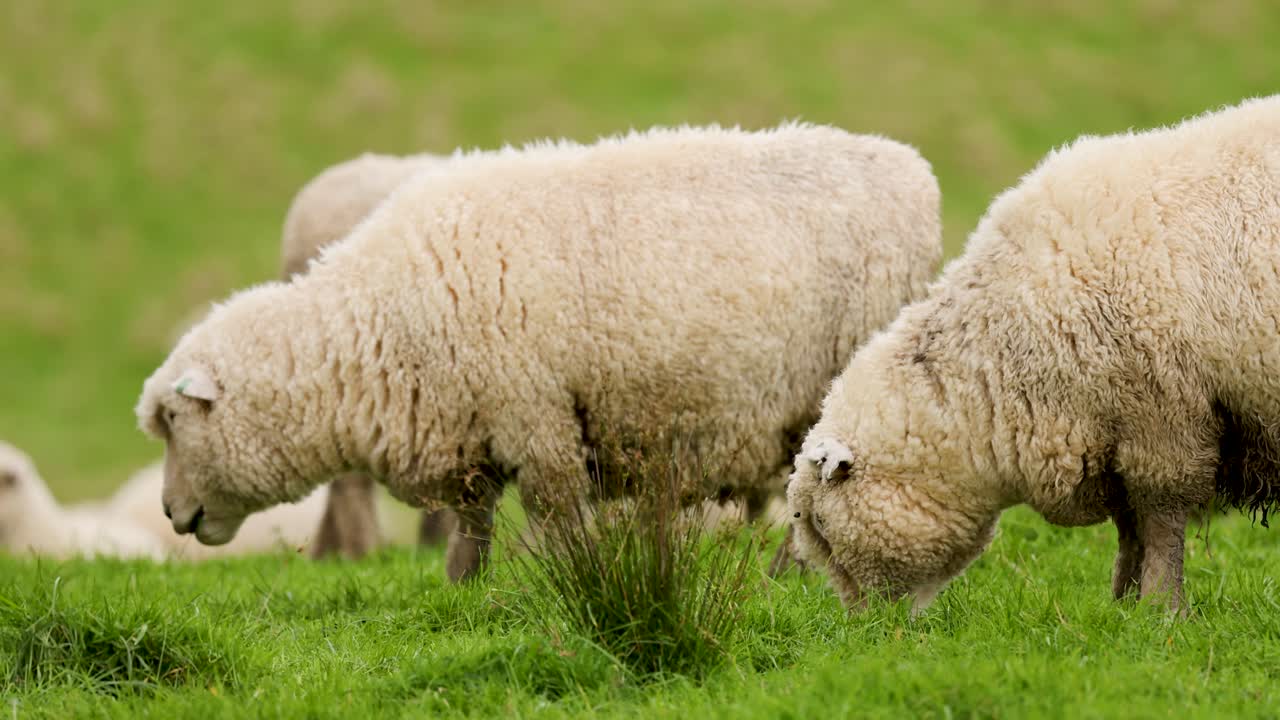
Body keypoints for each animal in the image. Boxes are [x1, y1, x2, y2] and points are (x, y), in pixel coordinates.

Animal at [787, 95, 1280, 614]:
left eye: (819, 526)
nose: (865, 626)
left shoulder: (1162, 418)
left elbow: (1160, 519)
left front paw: (1162, 606)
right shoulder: (1118, 430)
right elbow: (1131, 528)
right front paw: (1124, 605)